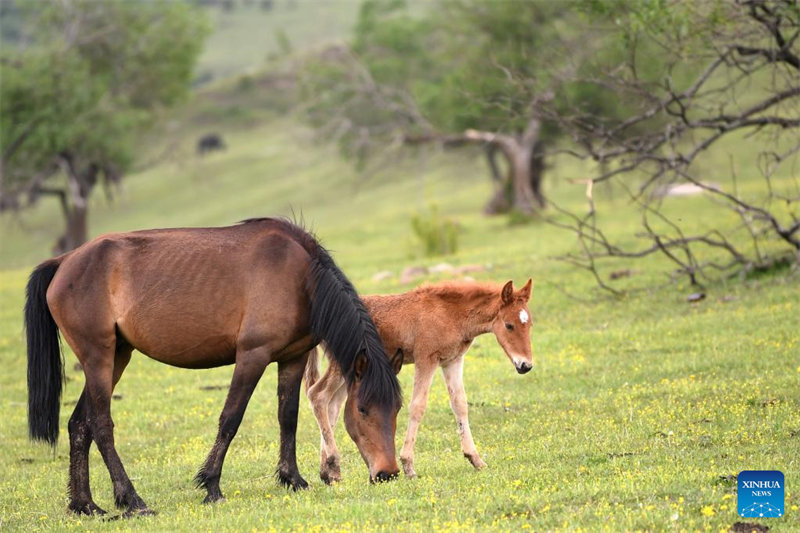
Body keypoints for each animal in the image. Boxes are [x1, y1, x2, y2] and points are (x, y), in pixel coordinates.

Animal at [26, 216, 400, 516]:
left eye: (396, 408)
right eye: (362, 410)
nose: (388, 473)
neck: (299, 276)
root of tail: (63, 261)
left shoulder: (292, 359)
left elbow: (288, 417)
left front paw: (292, 479)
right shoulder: (252, 355)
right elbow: (230, 419)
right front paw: (211, 485)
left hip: (117, 355)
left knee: (79, 424)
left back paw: (84, 505)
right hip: (98, 356)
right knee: (101, 425)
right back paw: (133, 500)